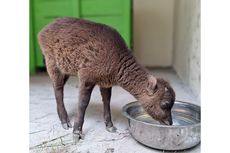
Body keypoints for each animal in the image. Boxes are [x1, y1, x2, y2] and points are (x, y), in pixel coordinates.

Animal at [37, 17, 175, 140]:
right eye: (165, 104)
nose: (170, 123)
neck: (116, 63)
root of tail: (42, 32)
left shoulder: (105, 82)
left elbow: (107, 101)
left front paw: (110, 126)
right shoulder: (86, 75)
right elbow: (82, 103)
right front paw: (77, 132)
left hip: (65, 68)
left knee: (56, 87)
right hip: (52, 62)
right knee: (58, 89)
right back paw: (65, 121)